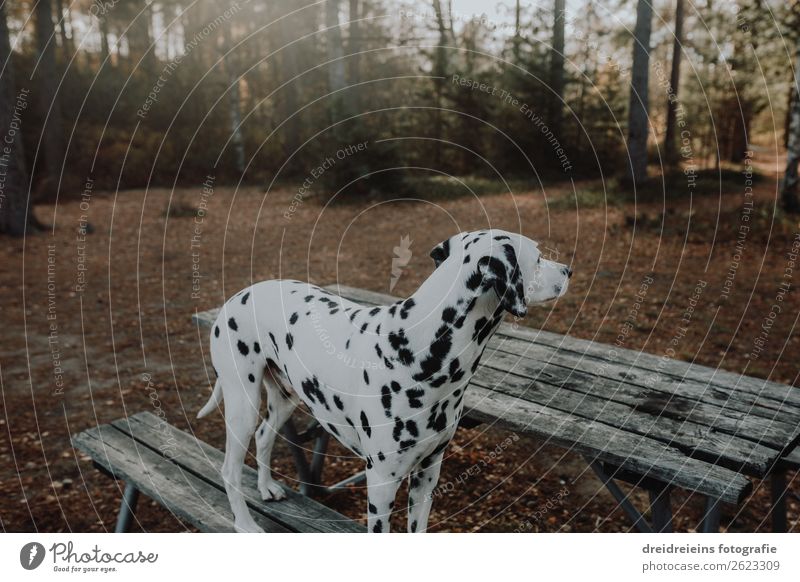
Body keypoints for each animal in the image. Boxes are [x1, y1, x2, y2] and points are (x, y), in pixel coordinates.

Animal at [197, 228, 572, 532]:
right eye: (539, 257)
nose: (569, 270)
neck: (419, 349)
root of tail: (237, 296)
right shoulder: (380, 485)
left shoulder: (428, 473)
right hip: (242, 405)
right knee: (230, 469)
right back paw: (245, 524)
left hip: (284, 399)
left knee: (264, 437)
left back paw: (266, 487)